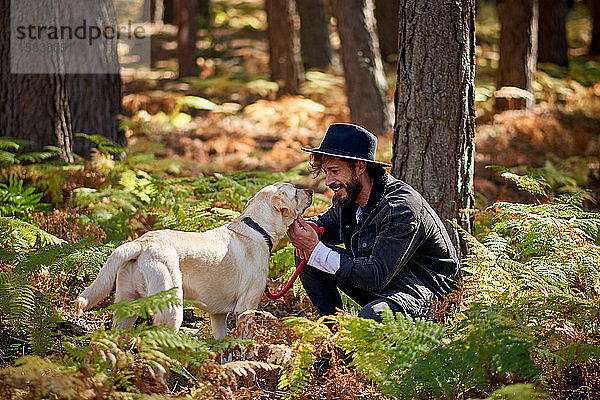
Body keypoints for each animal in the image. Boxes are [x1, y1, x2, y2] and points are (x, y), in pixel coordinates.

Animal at [74, 183, 314, 340]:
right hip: (171, 311)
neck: (257, 227)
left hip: (126, 308)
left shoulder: (218, 315)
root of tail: (143, 243)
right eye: (295, 192)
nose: (311, 191)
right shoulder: (245, 310)